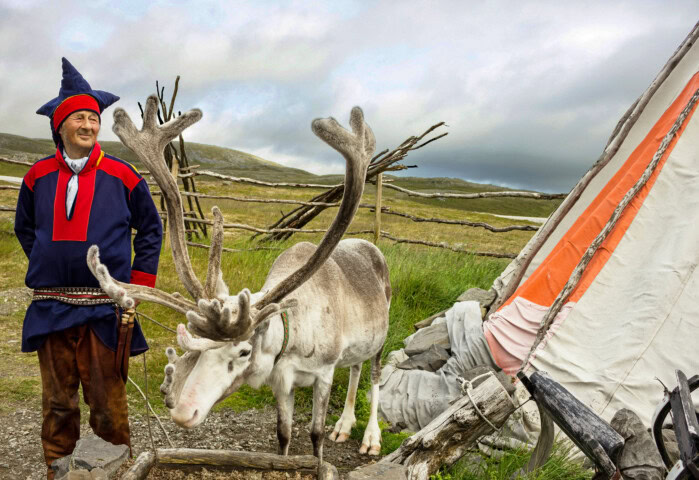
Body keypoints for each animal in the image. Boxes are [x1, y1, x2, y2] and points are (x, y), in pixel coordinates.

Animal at [86, 95, 390, 463]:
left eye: (244, 351)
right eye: (198, 349)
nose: (183, 412)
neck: (293, 331)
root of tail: (370, 246)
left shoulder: (324, 372)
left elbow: (315, 435)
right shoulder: (281, 381)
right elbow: (283, 434)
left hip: (382, 334)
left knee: (373, 375)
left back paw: (371, 437)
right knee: (356, 368)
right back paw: (344, 425)